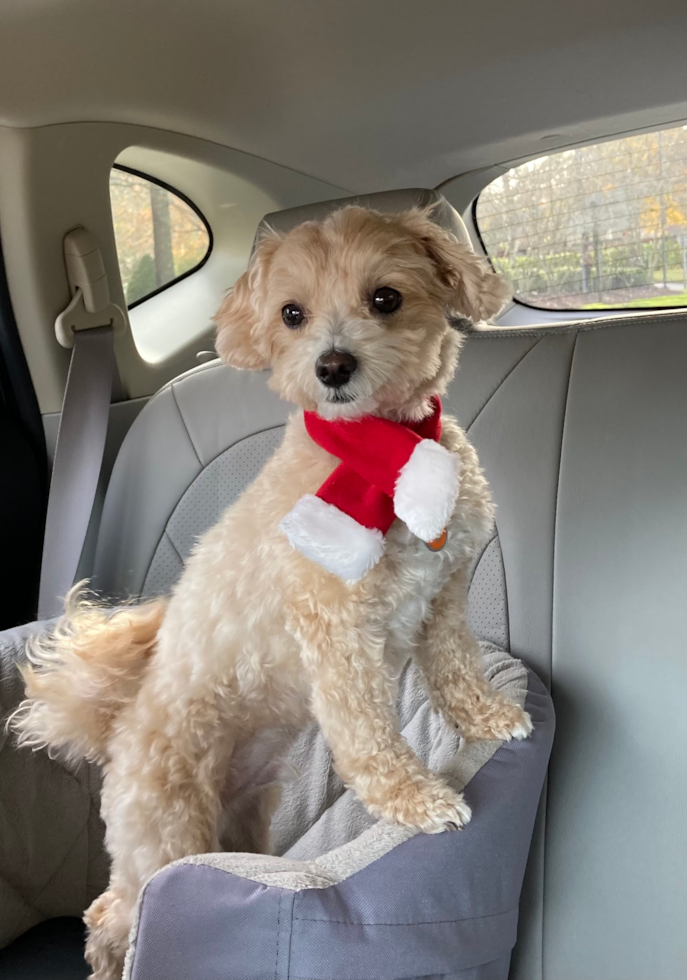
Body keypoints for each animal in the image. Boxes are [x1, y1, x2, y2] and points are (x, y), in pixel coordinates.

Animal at [13, 203, 536, 976]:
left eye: (386, 297)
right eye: (292, 313)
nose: (332, 365)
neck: (379, 454)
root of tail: (117, 725)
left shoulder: (445, 594)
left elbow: (455, 666)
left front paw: (489, 718)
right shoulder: (336, 630)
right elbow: (366, 731)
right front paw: (413, 799)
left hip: (241, 814)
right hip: (166, 826)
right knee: (112, 909)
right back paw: (112, 960)